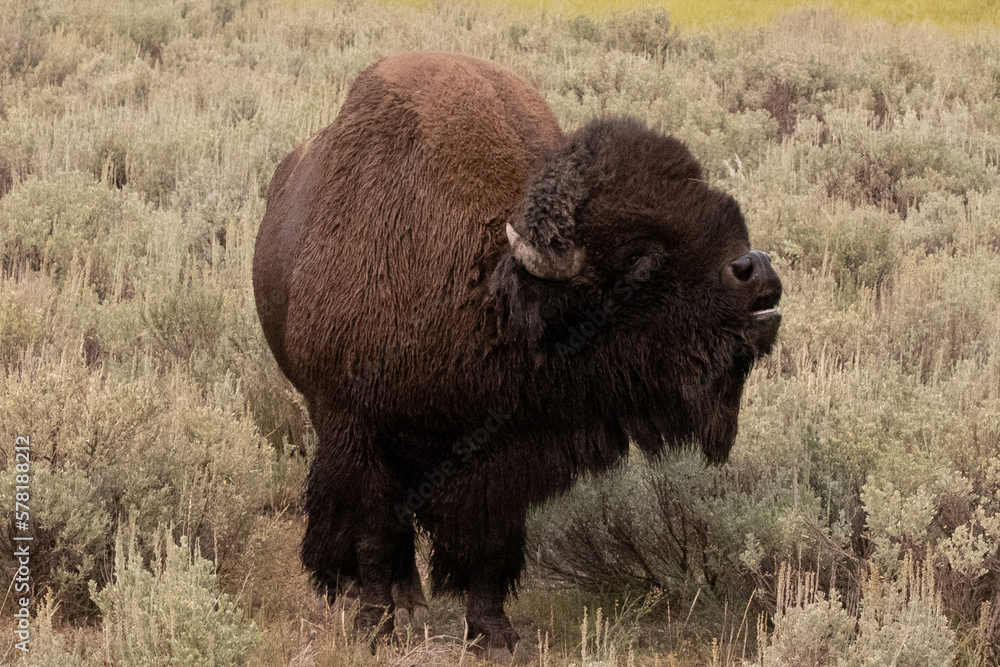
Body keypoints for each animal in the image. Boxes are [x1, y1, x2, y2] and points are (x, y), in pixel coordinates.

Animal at [252, 52, 780, 656]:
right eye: (641, 259)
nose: (757, 272)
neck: (492, 289)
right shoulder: (354, 428)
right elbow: (373, 531)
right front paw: (374, 627)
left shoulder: (504, 453)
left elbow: (488, 544)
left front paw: (495, 636)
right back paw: (400, 605)